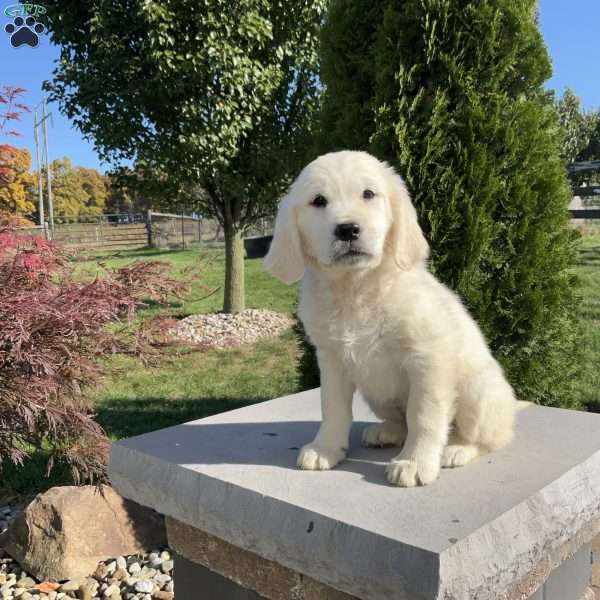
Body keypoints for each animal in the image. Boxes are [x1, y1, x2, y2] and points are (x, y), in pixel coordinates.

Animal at [262, 150, 516, 488]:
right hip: (377, 394)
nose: (348, 229)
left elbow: (424, 415)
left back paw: (457, 449)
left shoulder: (427, 360)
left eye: (369, 194)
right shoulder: (331, 359)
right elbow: (332, 408)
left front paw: (415, 462)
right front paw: (326, 448)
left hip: (478, 391)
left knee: (493, 437)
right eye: (318, 201)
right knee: (401, 421)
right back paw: (386, 432)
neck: (356, 289)